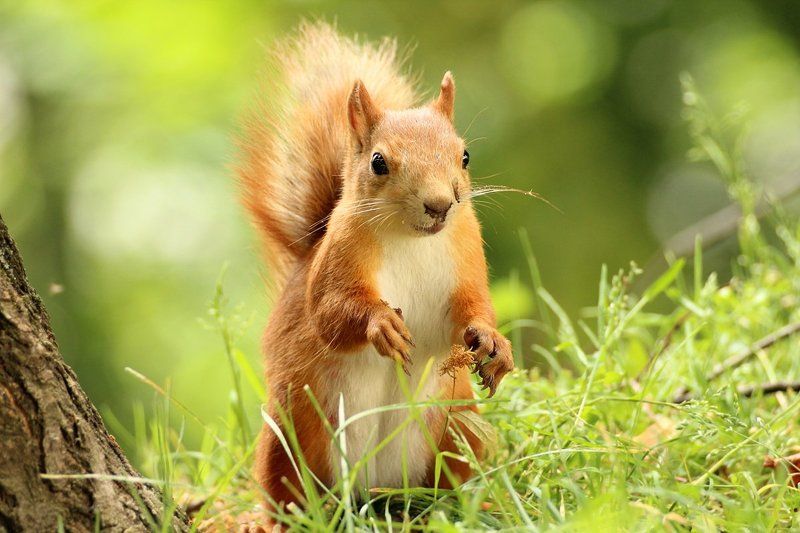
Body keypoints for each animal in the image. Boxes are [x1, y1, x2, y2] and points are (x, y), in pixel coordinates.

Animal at [237, 22, 514, 510]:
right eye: (378, 162)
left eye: (464, 156)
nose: (440, 205)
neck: (412, 241)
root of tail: (375, 490)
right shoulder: (338, 260)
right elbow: (329, 314)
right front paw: (381, 324)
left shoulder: (466, 255)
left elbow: (472, 306)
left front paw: (493, 343)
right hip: (290, 432)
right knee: (288, 492)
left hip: (457, 425)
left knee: (449, 480)